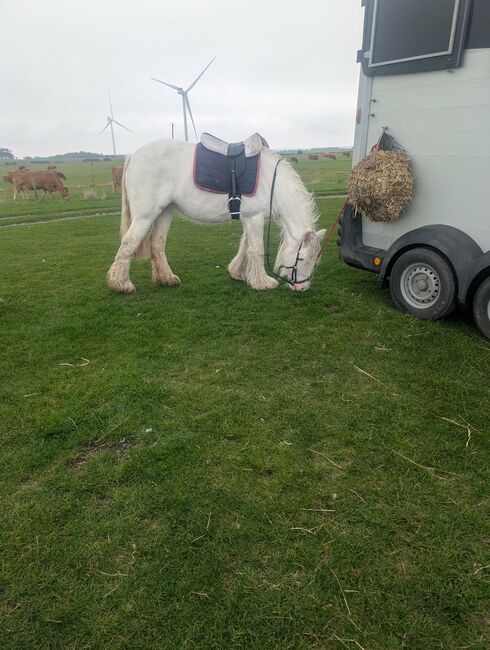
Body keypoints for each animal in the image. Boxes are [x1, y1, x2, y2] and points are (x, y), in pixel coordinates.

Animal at [106, 139, 326, 294]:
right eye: (302, 258)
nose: (302, 288)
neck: (271, 181)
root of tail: (133, 155)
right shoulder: (254, 218)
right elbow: (256, 249)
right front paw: (262, 282)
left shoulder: (251, 219)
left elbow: (245, 246)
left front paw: (238, 273)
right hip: (145, 216)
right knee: (128, 243)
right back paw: (121, 284)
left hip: (164, 212)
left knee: (157, 243)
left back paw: (166, 279)